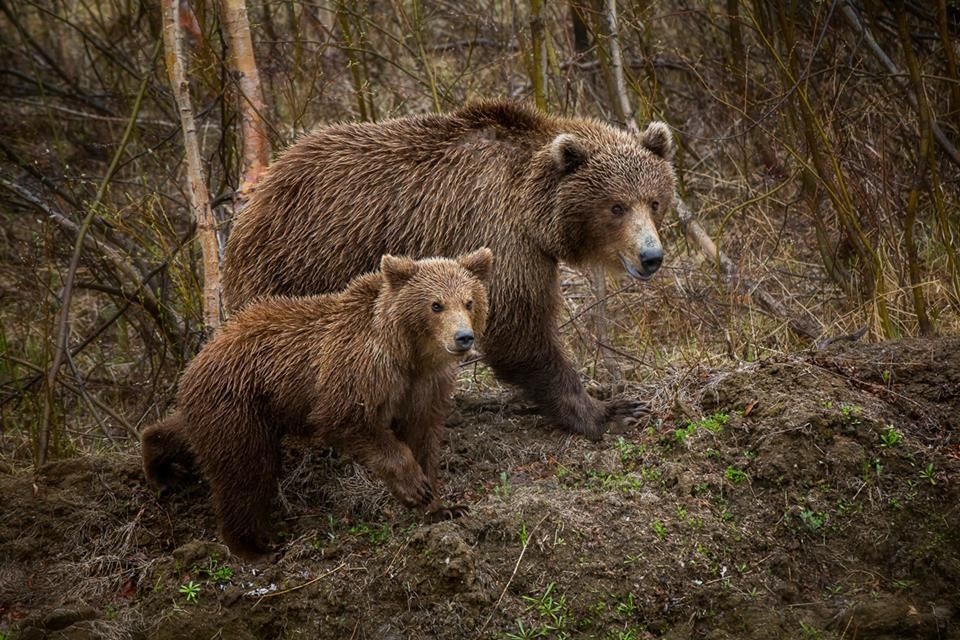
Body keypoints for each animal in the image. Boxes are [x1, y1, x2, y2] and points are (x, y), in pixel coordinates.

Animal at [141, 248, 496, 556]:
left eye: (469, 302)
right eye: (436, 305)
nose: (463, 338)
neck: (410, 354)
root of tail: (201, 354)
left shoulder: (424, 388)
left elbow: (423, 438)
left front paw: (442, 506)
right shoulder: (358, 371)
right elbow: (350, 421)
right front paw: (414, 487)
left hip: (232, 405)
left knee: (193, 435)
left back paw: (159, 464)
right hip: (239, 402)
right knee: (246, 469)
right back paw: (253, 546)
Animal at [224, 101, 676, 440]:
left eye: (654, 201)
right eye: (616, 206)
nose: (651, 256)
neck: (532, 209)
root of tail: (256, 197)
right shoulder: (499, 234)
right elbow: (520, 329)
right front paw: (609, 411)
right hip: (301, 263)